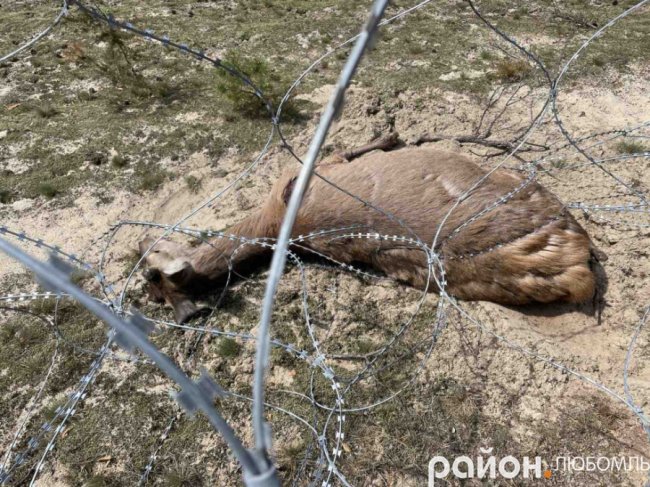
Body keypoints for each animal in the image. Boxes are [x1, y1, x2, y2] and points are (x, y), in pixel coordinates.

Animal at [138, 134, 603, 324]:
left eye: (150, 283)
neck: (273, 221)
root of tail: (580, 269)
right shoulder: (321, 163)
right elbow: (353, 148)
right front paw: (391, 135)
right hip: (525, 181)